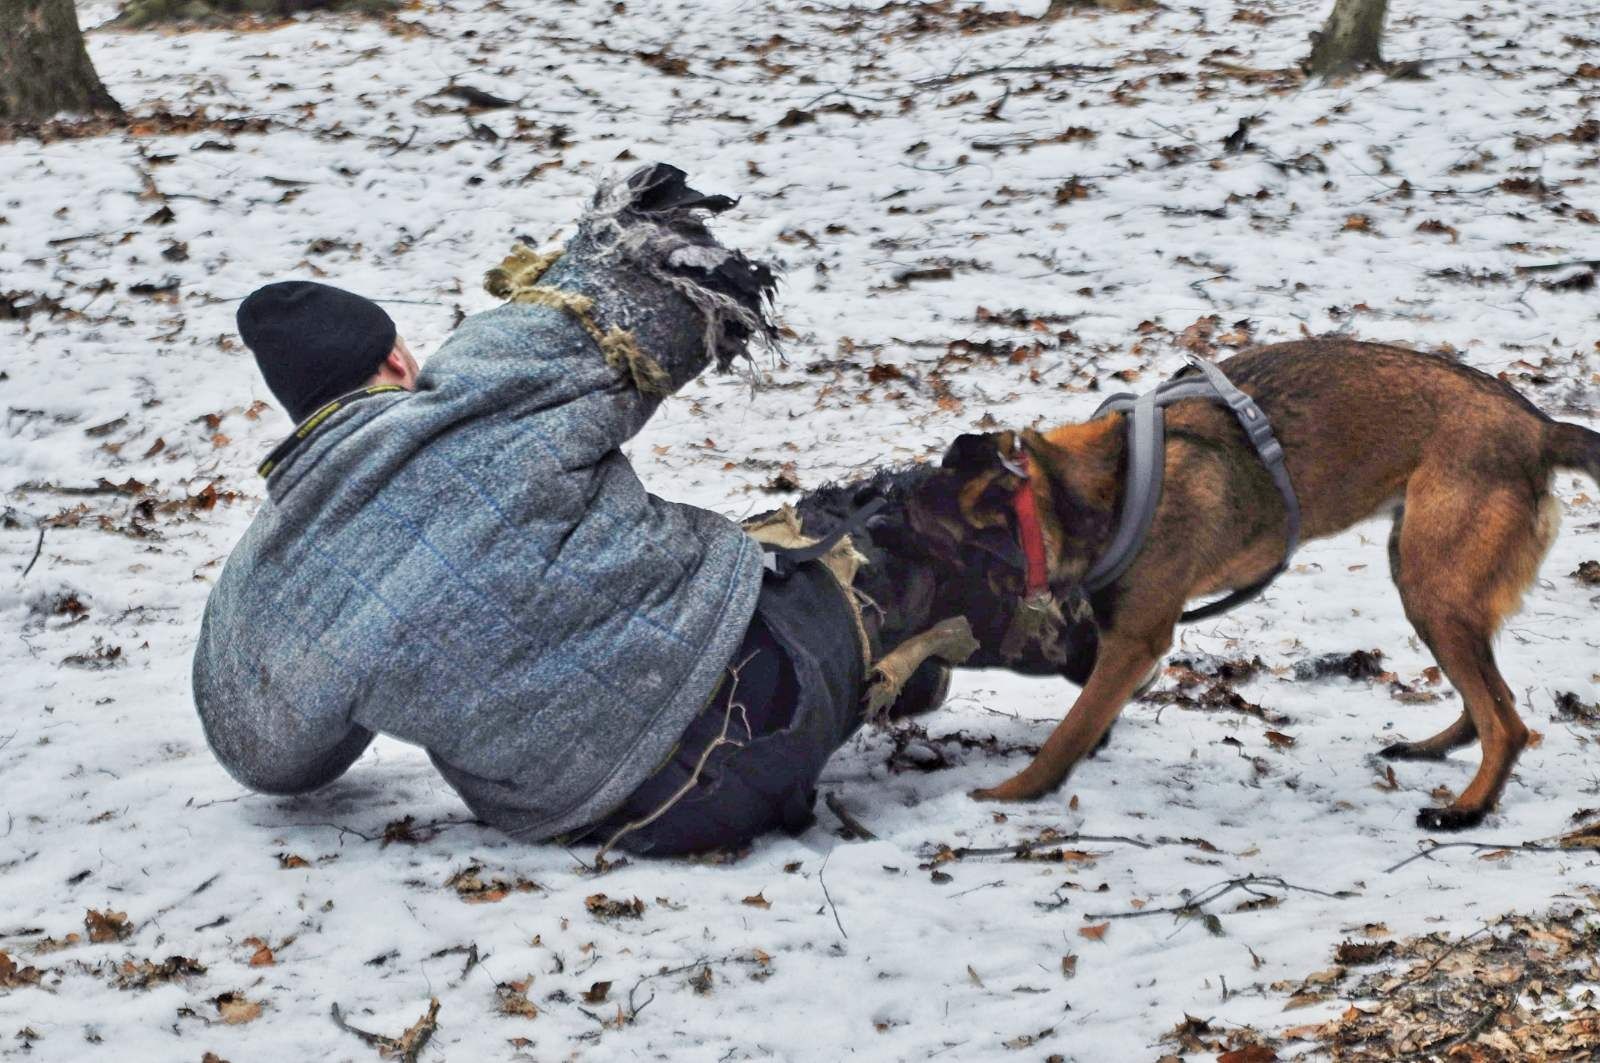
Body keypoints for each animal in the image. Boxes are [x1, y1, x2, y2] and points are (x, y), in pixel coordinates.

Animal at [908, 340, 1600, 832]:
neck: (1080, 489)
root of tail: (1538, 428)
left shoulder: (1135, 641)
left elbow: (1067, 732)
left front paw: (1012, 794)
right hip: (1423, 577)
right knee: (1487, 701)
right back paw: (1437, 748)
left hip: (1434, 588)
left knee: (1507, 723)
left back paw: (1466, 809)